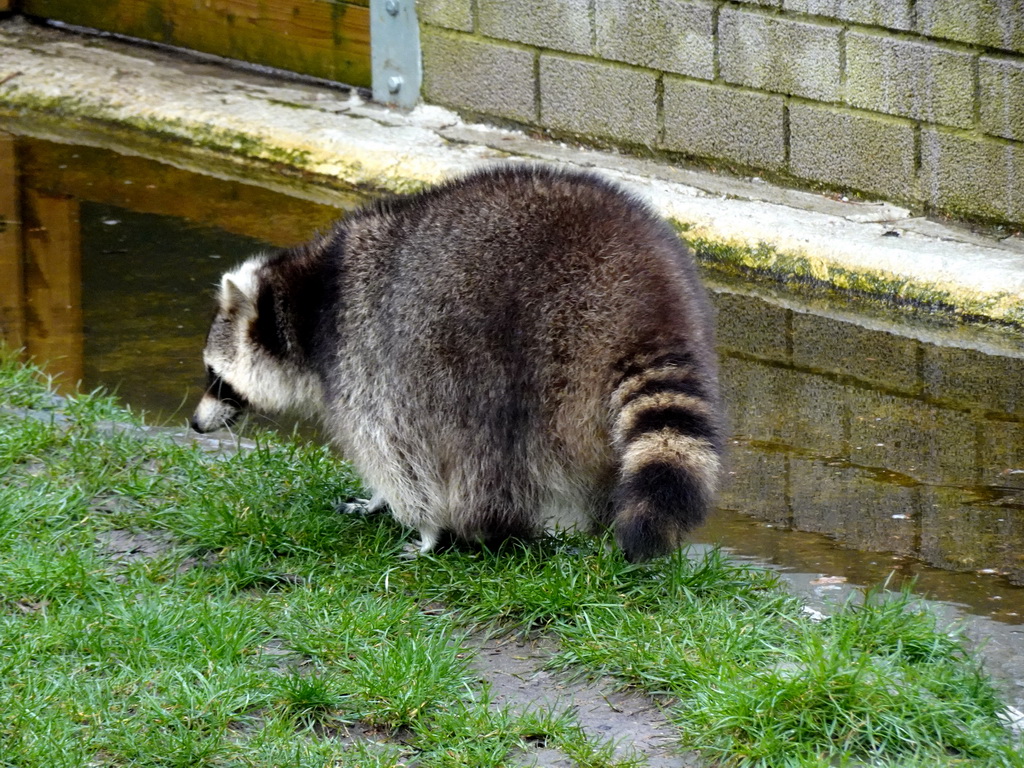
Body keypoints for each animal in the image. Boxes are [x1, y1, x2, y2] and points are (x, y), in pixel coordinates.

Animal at [190, 165, 720, 561]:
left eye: (215, 377)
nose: (194, 424)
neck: (311, 297)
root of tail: (649, 306)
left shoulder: (369, 347)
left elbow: (396, 450)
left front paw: (423, 525)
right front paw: (380, 501)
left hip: (527, 356)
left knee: (488, 452)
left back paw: (498, 523)